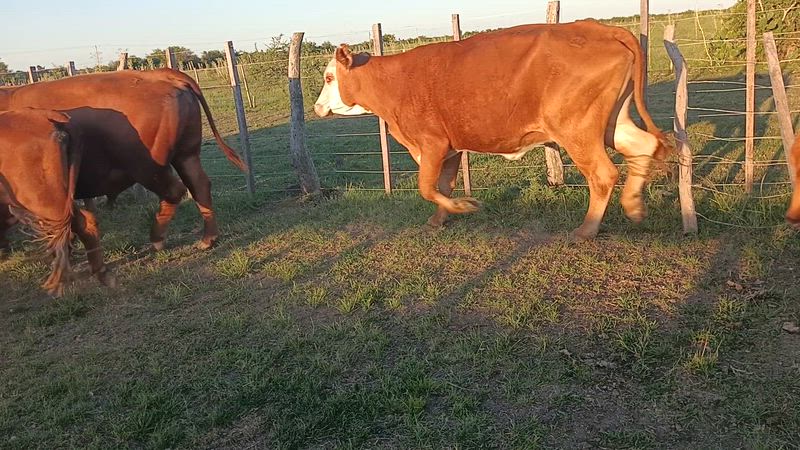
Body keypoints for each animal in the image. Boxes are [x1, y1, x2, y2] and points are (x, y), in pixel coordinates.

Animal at [0, 68, 247, 251]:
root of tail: (158, 74)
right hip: (186, 154)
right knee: (199, 186)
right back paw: (208, 239)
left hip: (148, 166)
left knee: (174, 191)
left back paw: (157, 240)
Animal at [314, 20, 673, 240]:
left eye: (329, 77)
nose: (317, 107)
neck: (395, 83)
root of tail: (596, 27)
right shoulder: (450, 148)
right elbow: (442, 186)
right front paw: (439, 219)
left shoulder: (431, 143)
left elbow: (427, 187)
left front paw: (463, 206)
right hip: (612, 121)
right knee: (642, 145)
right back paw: (633, 205)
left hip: (576, 130)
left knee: (602, 174)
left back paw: (587, 229)